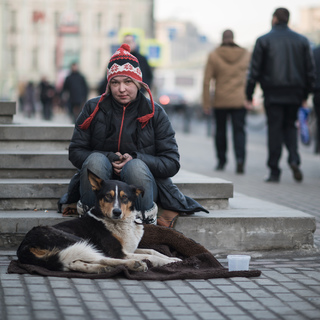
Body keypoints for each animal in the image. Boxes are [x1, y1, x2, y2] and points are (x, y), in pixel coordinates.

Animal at [17, 170, 181, 272]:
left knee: (75, 262)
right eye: (108, 196)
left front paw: (174, 259)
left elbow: (152, 250)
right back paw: (133, 265)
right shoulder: (117, 252)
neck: (120, 223)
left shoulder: (128, 249)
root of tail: (25, 245)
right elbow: (151, 255)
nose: (117, 212)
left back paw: (101, 269)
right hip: (77, 240)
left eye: (124, 197)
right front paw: (168, 262)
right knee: (100, 258)